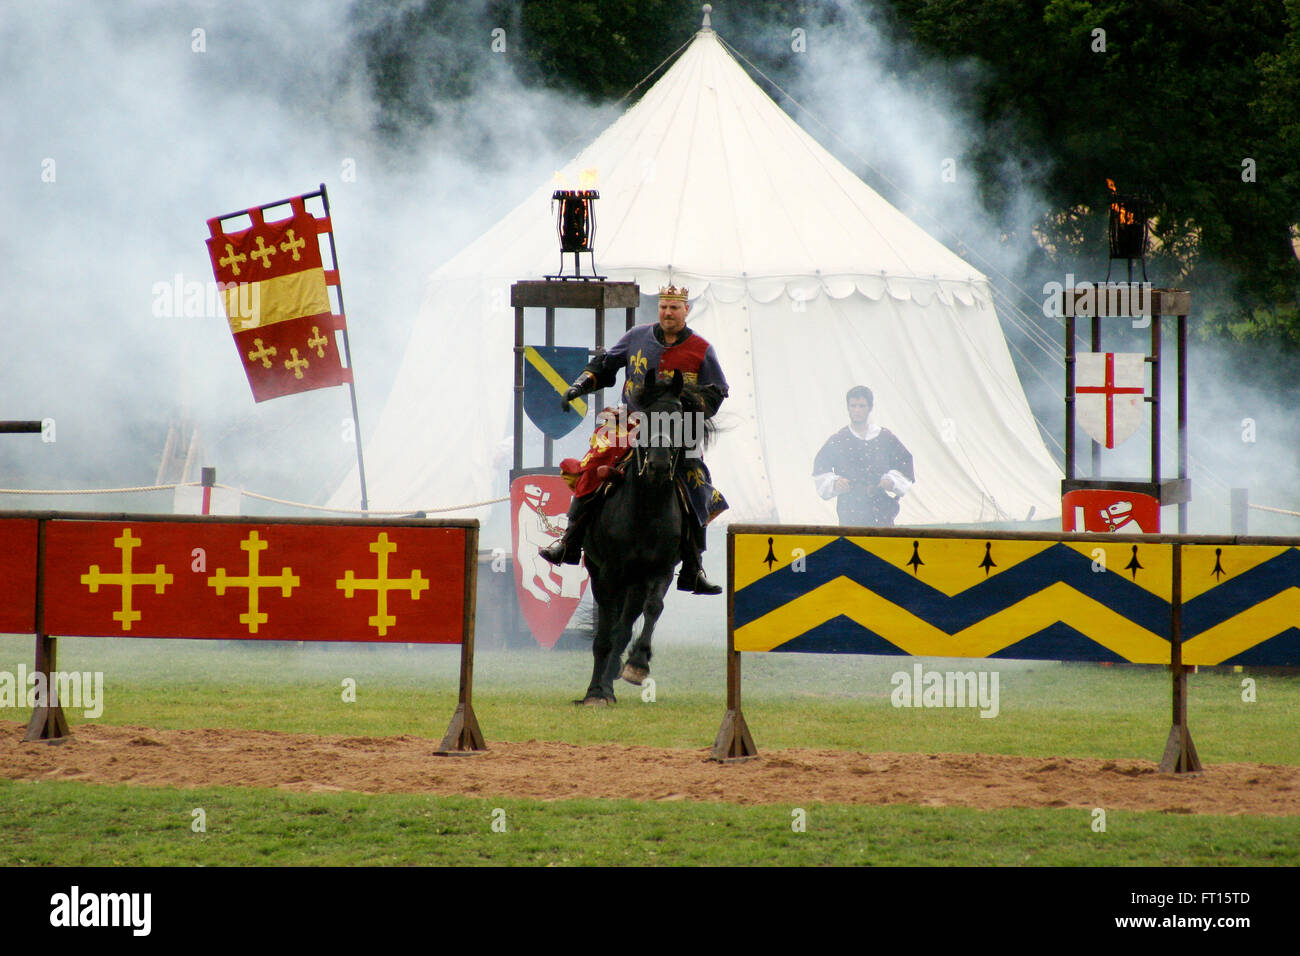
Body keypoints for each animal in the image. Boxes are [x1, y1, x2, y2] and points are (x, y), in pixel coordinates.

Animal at [582, 366, 717, 702]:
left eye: (680, 420)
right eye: (645, 418)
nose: (656, 466)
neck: (646, 508)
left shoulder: (660, 570)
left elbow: (652, 610)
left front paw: (637, 664)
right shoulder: (609, 572)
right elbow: (605, 631)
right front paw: (595, 692)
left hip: (636, 581)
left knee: (626, 625)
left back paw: (613, 676)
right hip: (602, 571)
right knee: (611, 628)